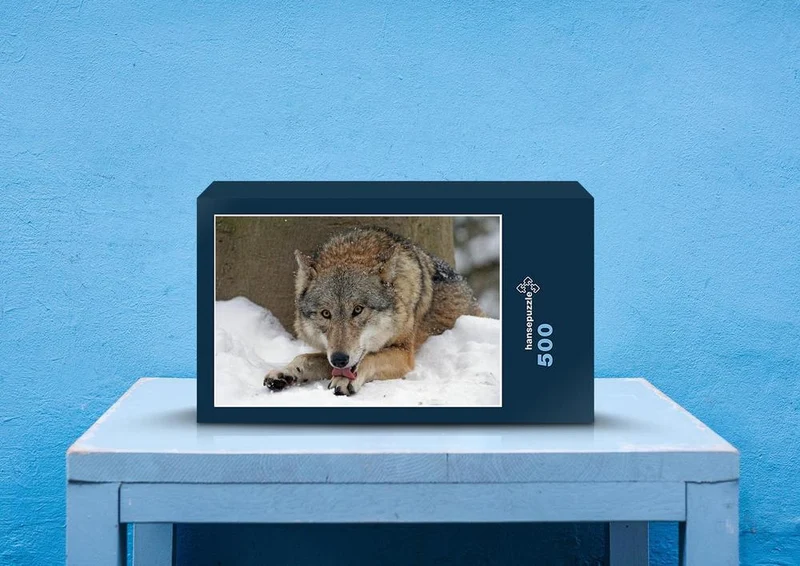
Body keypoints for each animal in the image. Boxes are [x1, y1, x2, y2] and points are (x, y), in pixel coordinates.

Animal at [263, 227, 484, 396]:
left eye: (358, 310)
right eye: (326, 314)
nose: (339, 359)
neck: (353, 251)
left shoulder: (404, 353)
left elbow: (370, 358)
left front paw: (344, 381)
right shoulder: (330, 354)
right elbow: (304, 357)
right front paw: (285, 372)